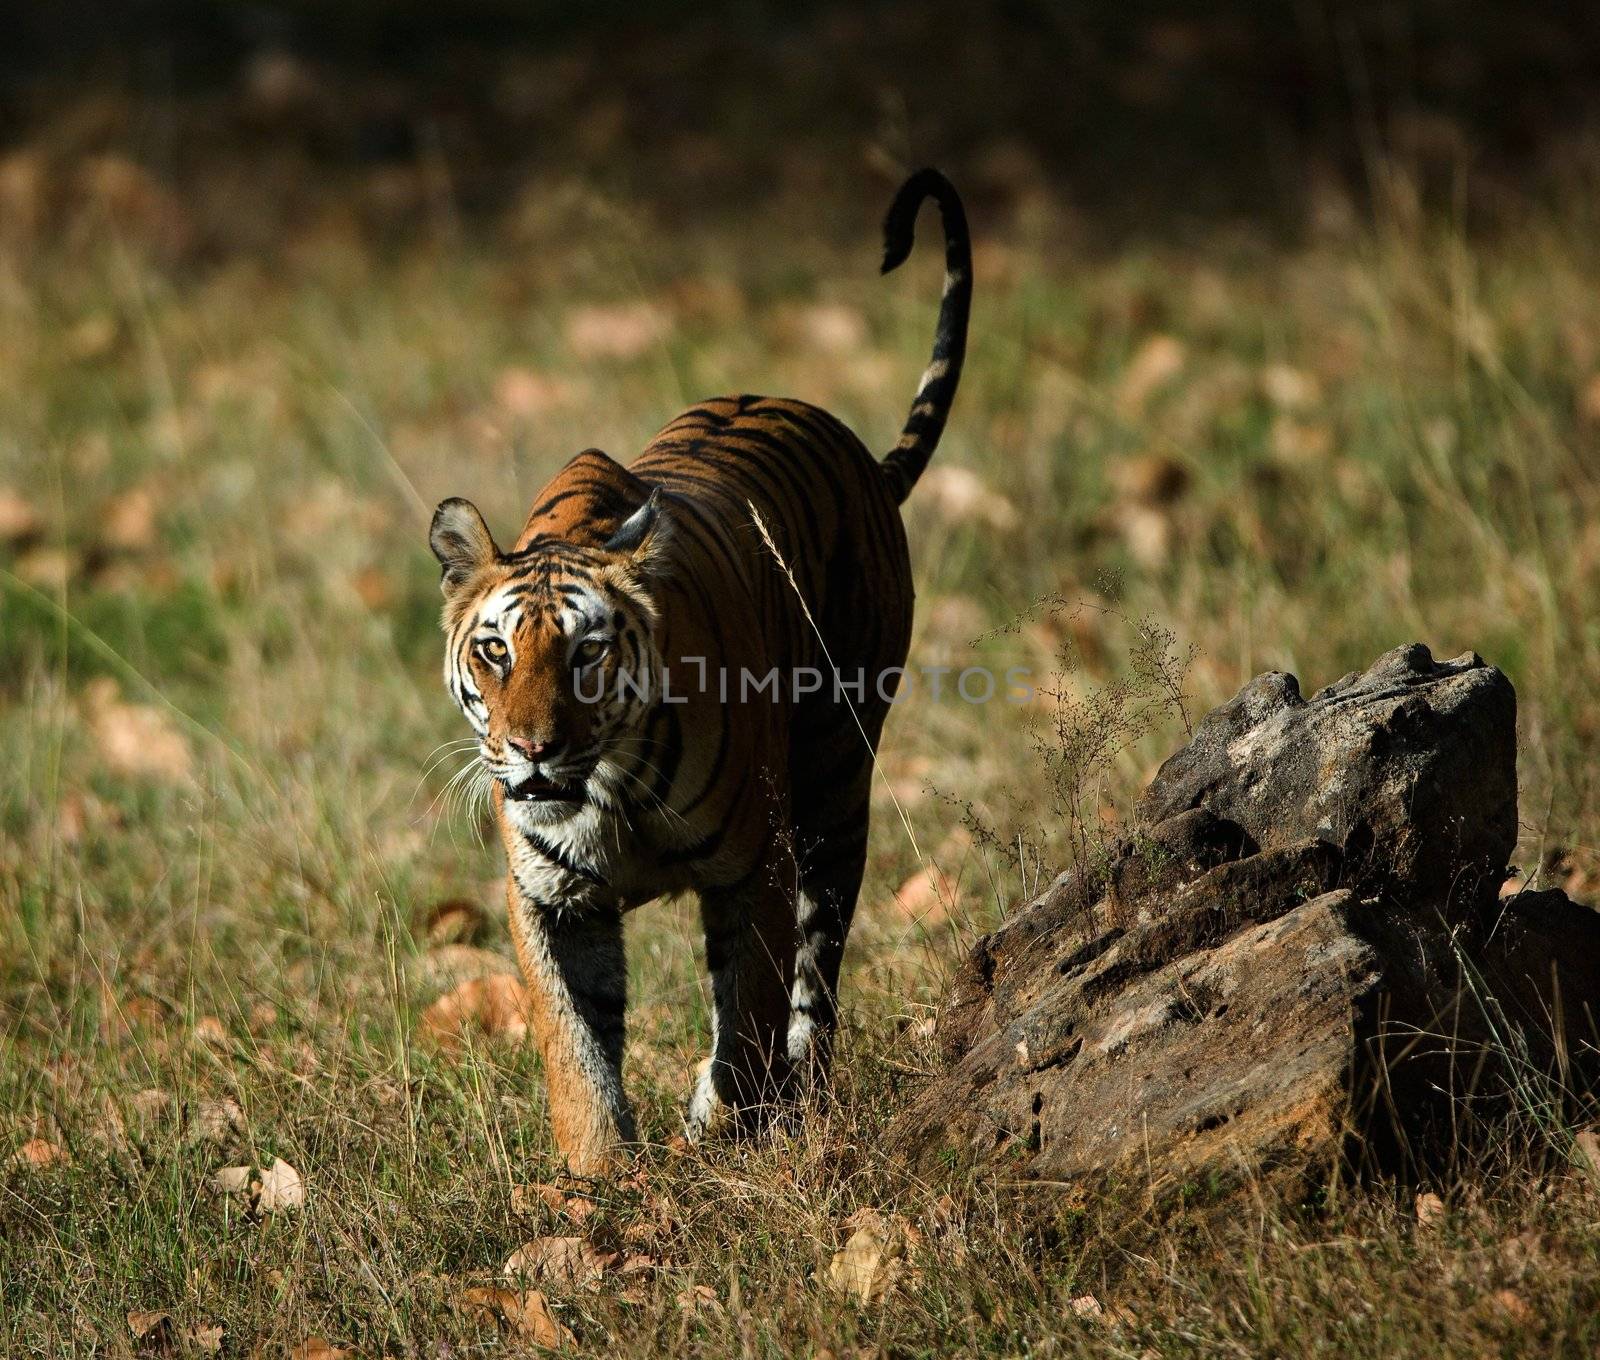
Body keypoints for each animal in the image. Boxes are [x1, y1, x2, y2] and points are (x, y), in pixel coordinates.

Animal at [432, 167, 966, 1164]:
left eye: (587, 651)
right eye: (495, 652)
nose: (531, 749)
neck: (603, 792)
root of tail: (856, 455)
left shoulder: (756, 866)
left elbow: (747, 1008)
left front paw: (729, 1131)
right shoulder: (547, 898)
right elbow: (574, 1043)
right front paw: (596, 1177)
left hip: (836, 782)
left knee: (817, 972)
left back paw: (801, 1095)